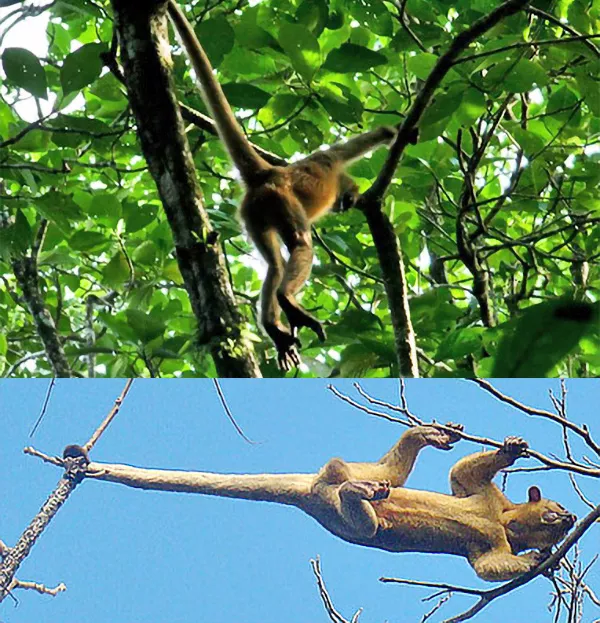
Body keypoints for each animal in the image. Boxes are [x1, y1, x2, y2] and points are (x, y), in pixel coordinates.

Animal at [78, 426, 572, 584]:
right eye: (554, 507)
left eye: (562, 519)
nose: (568, 518)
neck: (504, 521)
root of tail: (313, 488)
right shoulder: (488, 498)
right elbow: (462, 476)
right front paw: (510, 451)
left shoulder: (495, 533)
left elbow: (487, 566)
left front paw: (539, 559)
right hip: (340, 502)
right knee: (375, 501)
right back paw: (412, 445)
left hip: (340, 499)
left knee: (380, 491)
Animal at [166, 1, 414, 370]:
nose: (344, 204)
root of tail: (269, 174)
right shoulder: (329, 159)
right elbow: (364, 142)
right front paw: (397, 132)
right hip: (281, 201)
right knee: (300, 242)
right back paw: (286, 299)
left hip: (253, 214)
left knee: (275, 265)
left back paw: (274, 326)